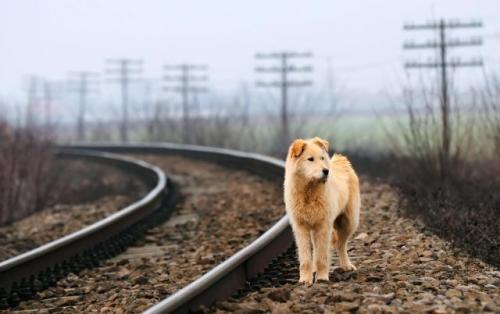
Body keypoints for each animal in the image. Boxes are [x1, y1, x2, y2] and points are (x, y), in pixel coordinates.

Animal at [286, 137, 360, 284]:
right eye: (310, 159)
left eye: (321, 158)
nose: (326, 171)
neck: (309, 192)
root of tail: (340, 159)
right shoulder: (301, 227)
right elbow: (305, 257)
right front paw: (305, 279)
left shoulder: (323, 226)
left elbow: (322, 256)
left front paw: (321, 278)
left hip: (349, 222)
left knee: (341, 245)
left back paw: (347, 265)